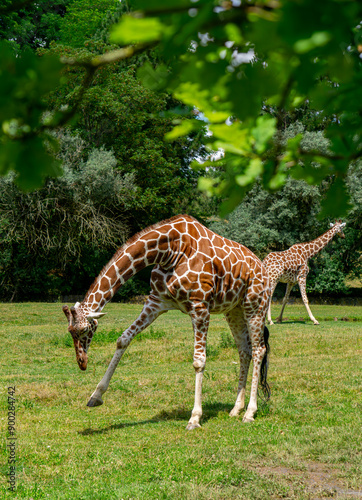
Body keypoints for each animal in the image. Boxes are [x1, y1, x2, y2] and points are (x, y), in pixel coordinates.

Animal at [63, 213, 272, 428]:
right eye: (70, 331)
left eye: (84, 330)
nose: (82, 362)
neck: (168, 250)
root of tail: (263, 268)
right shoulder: (156, 301)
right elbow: (123, 339)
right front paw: (95, 395)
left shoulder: (200, 306)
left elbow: (199, 361)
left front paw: (195, 417)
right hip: (234, 310)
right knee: (244, 351)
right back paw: (236, 409)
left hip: (255, 305)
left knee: (259, 349)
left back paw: (250, 412)